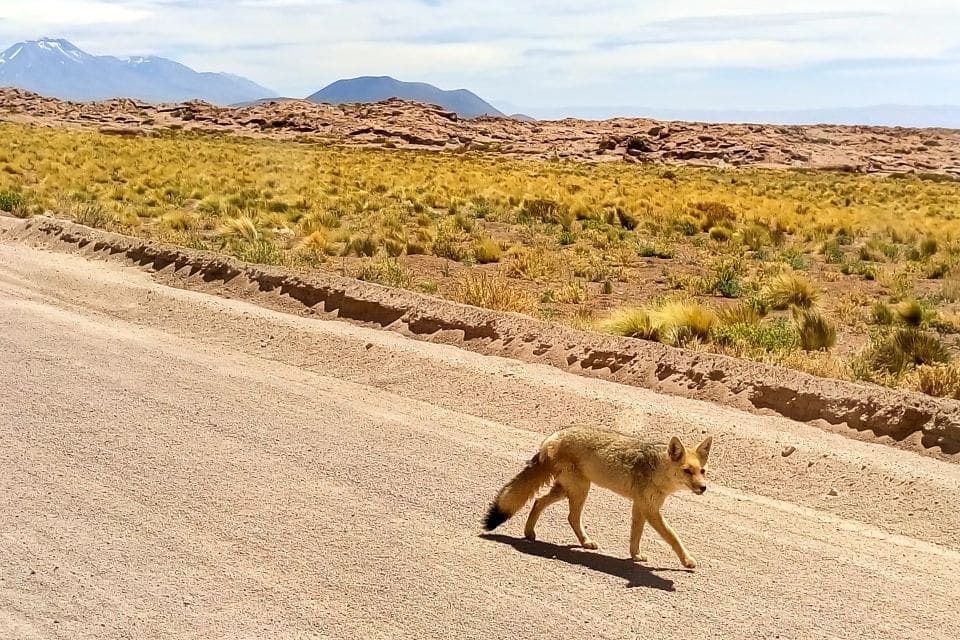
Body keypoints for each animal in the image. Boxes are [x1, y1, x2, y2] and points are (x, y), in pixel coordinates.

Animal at [484, 424, 708, 568]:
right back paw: (580, 541)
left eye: (702, 471)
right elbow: (673, 537)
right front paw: (687, 560)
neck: (658, 469)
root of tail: (552, 438)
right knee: (569, 516)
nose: (704, 488)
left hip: (566, 490)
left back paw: (536, 534)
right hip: (580, 489)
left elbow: (635, 535)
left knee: (540, 502)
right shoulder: (650, 510)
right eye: (688, 471)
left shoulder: (640, 507)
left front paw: (635, 555)